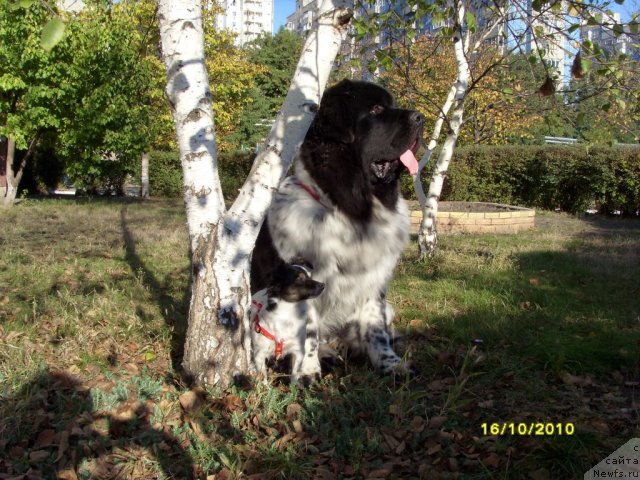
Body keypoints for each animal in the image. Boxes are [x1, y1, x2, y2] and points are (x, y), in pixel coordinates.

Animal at [251, 79, 424, 382]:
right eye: (376, 109)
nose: (421, 118)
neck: (351, 211)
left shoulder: (374, 279)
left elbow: (376, 328)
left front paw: (390, 363)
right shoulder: (308, 280)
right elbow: (308, 330)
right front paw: (307, 371)